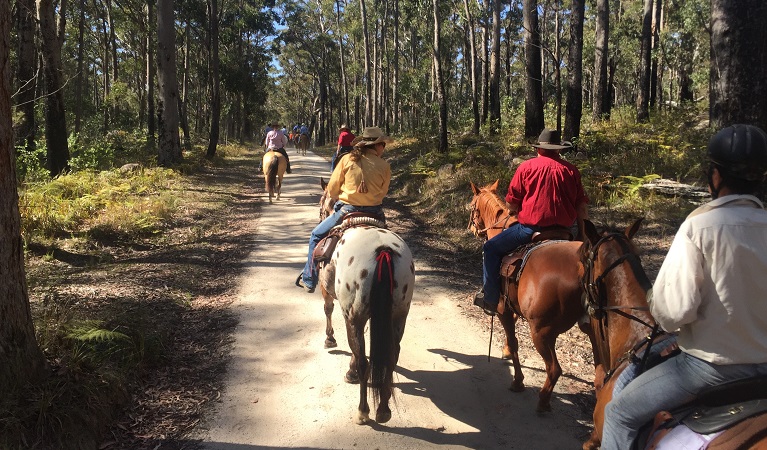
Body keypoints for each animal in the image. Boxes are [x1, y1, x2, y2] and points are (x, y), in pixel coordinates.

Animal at [316, 180, 416, 426]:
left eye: (322, 204)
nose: (321, 214)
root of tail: (383, 250)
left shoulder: (330, 294)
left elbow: (328, 309)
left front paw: (330, 340)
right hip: (398, 316)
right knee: (391, 357)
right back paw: (383, 410)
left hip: (355, 316)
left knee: (364, 361)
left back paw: (363, 411)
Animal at [468, 179, 600, 412]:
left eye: (472, 206)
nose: (474, 229)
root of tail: (581, 267)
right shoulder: (511, 306)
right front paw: (506, 352)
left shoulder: (502, 309)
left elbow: (514, 342)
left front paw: (518, 381)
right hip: (592, 330)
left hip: (541, 331)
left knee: (554, 369)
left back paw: (543, 401)